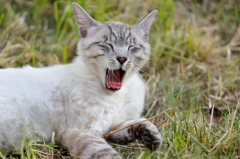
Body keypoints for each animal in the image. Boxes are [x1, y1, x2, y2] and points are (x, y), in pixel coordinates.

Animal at [0, 2, 161, 159]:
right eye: (107, 45)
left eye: (132, 47)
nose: (122, 59)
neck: (117, 95)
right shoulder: (82, 131)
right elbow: (109, 154)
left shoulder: (111, 128)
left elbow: (140, 122)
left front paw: (151, 135)